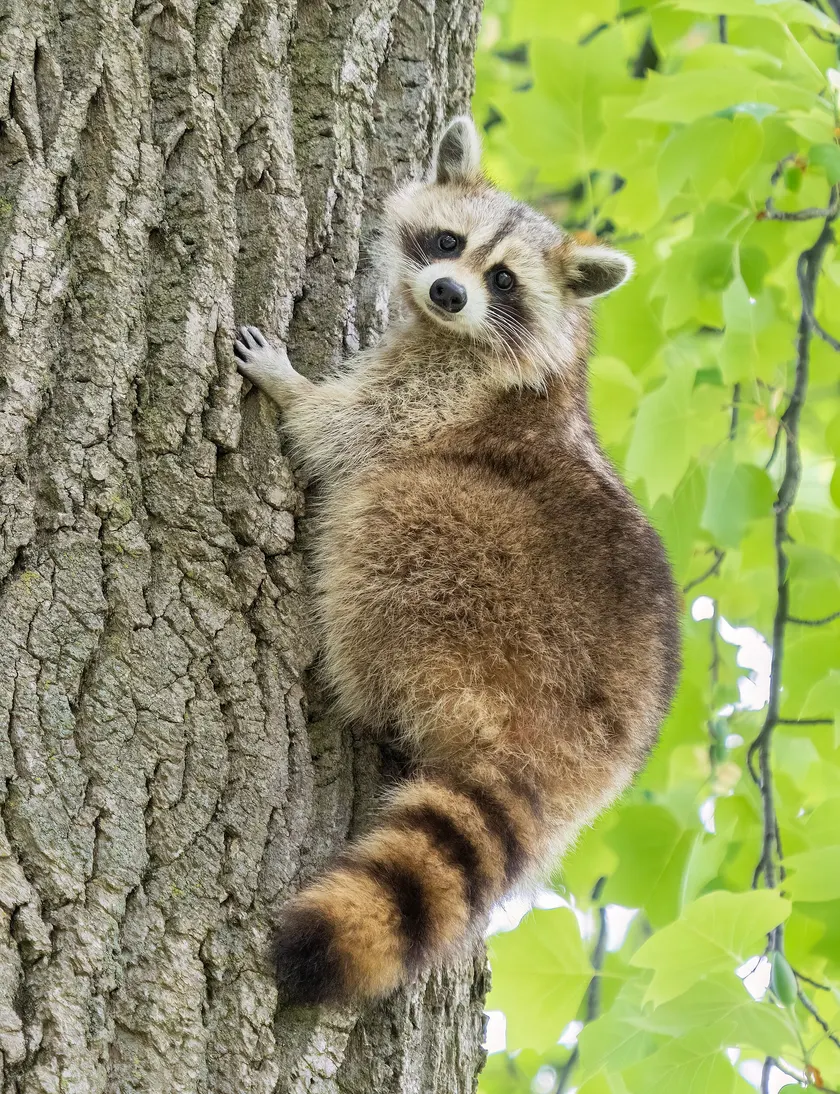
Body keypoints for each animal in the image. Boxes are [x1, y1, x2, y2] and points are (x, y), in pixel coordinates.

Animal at [234, 117, 681, 1006]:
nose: (446, 292)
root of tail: (570, 742)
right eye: (448, 242)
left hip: (478, 579)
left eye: (501, 280)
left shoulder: (447, 390)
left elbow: (349, 432)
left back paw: (350, 672)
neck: (456, 334)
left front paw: (289, 386)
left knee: (392, 505)